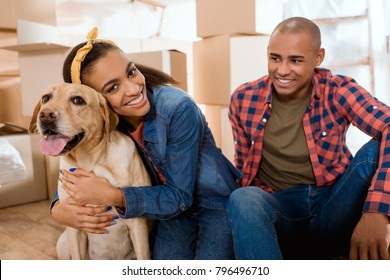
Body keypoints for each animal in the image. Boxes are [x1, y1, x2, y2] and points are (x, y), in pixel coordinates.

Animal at [27, 83, 151, 260]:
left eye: (78, 100)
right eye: (45, 98)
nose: (46, 115)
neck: (92, 164)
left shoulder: (137, 223)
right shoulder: (73, 223)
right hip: (63, 243)